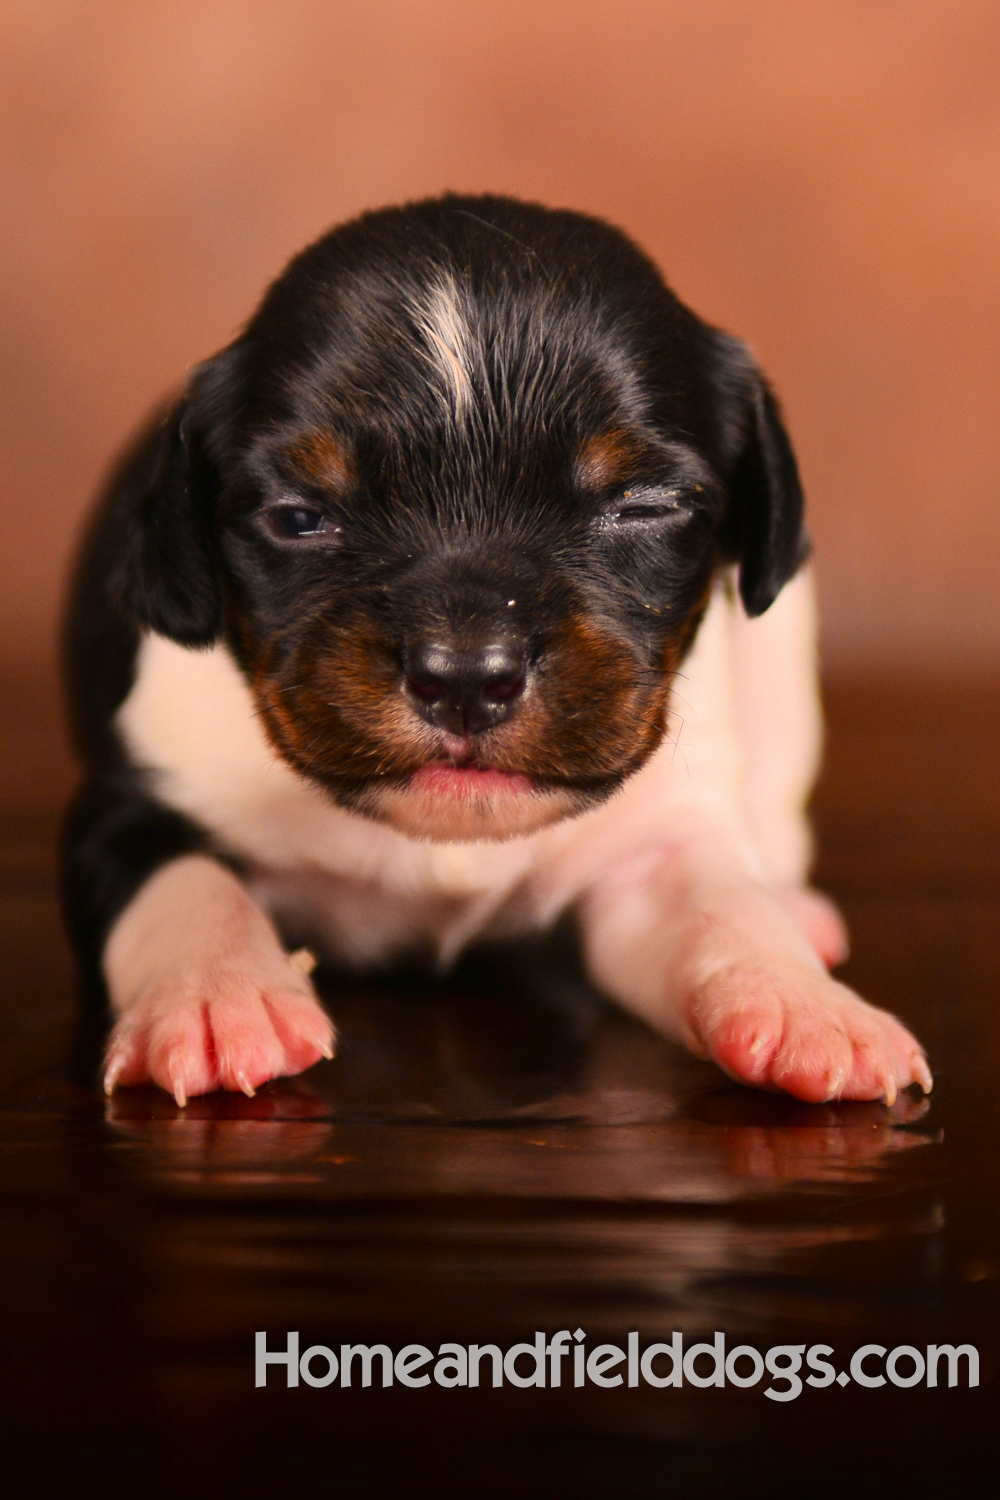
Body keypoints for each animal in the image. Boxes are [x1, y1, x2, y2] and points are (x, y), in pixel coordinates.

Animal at [62, 193, 935, 1110]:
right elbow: (183, 885)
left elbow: (723, 906)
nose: (465, 679)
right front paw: (215, 995)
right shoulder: (129, 805)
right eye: (299, 517)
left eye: (642, 505)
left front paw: (807, 1003)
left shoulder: (652, 850)